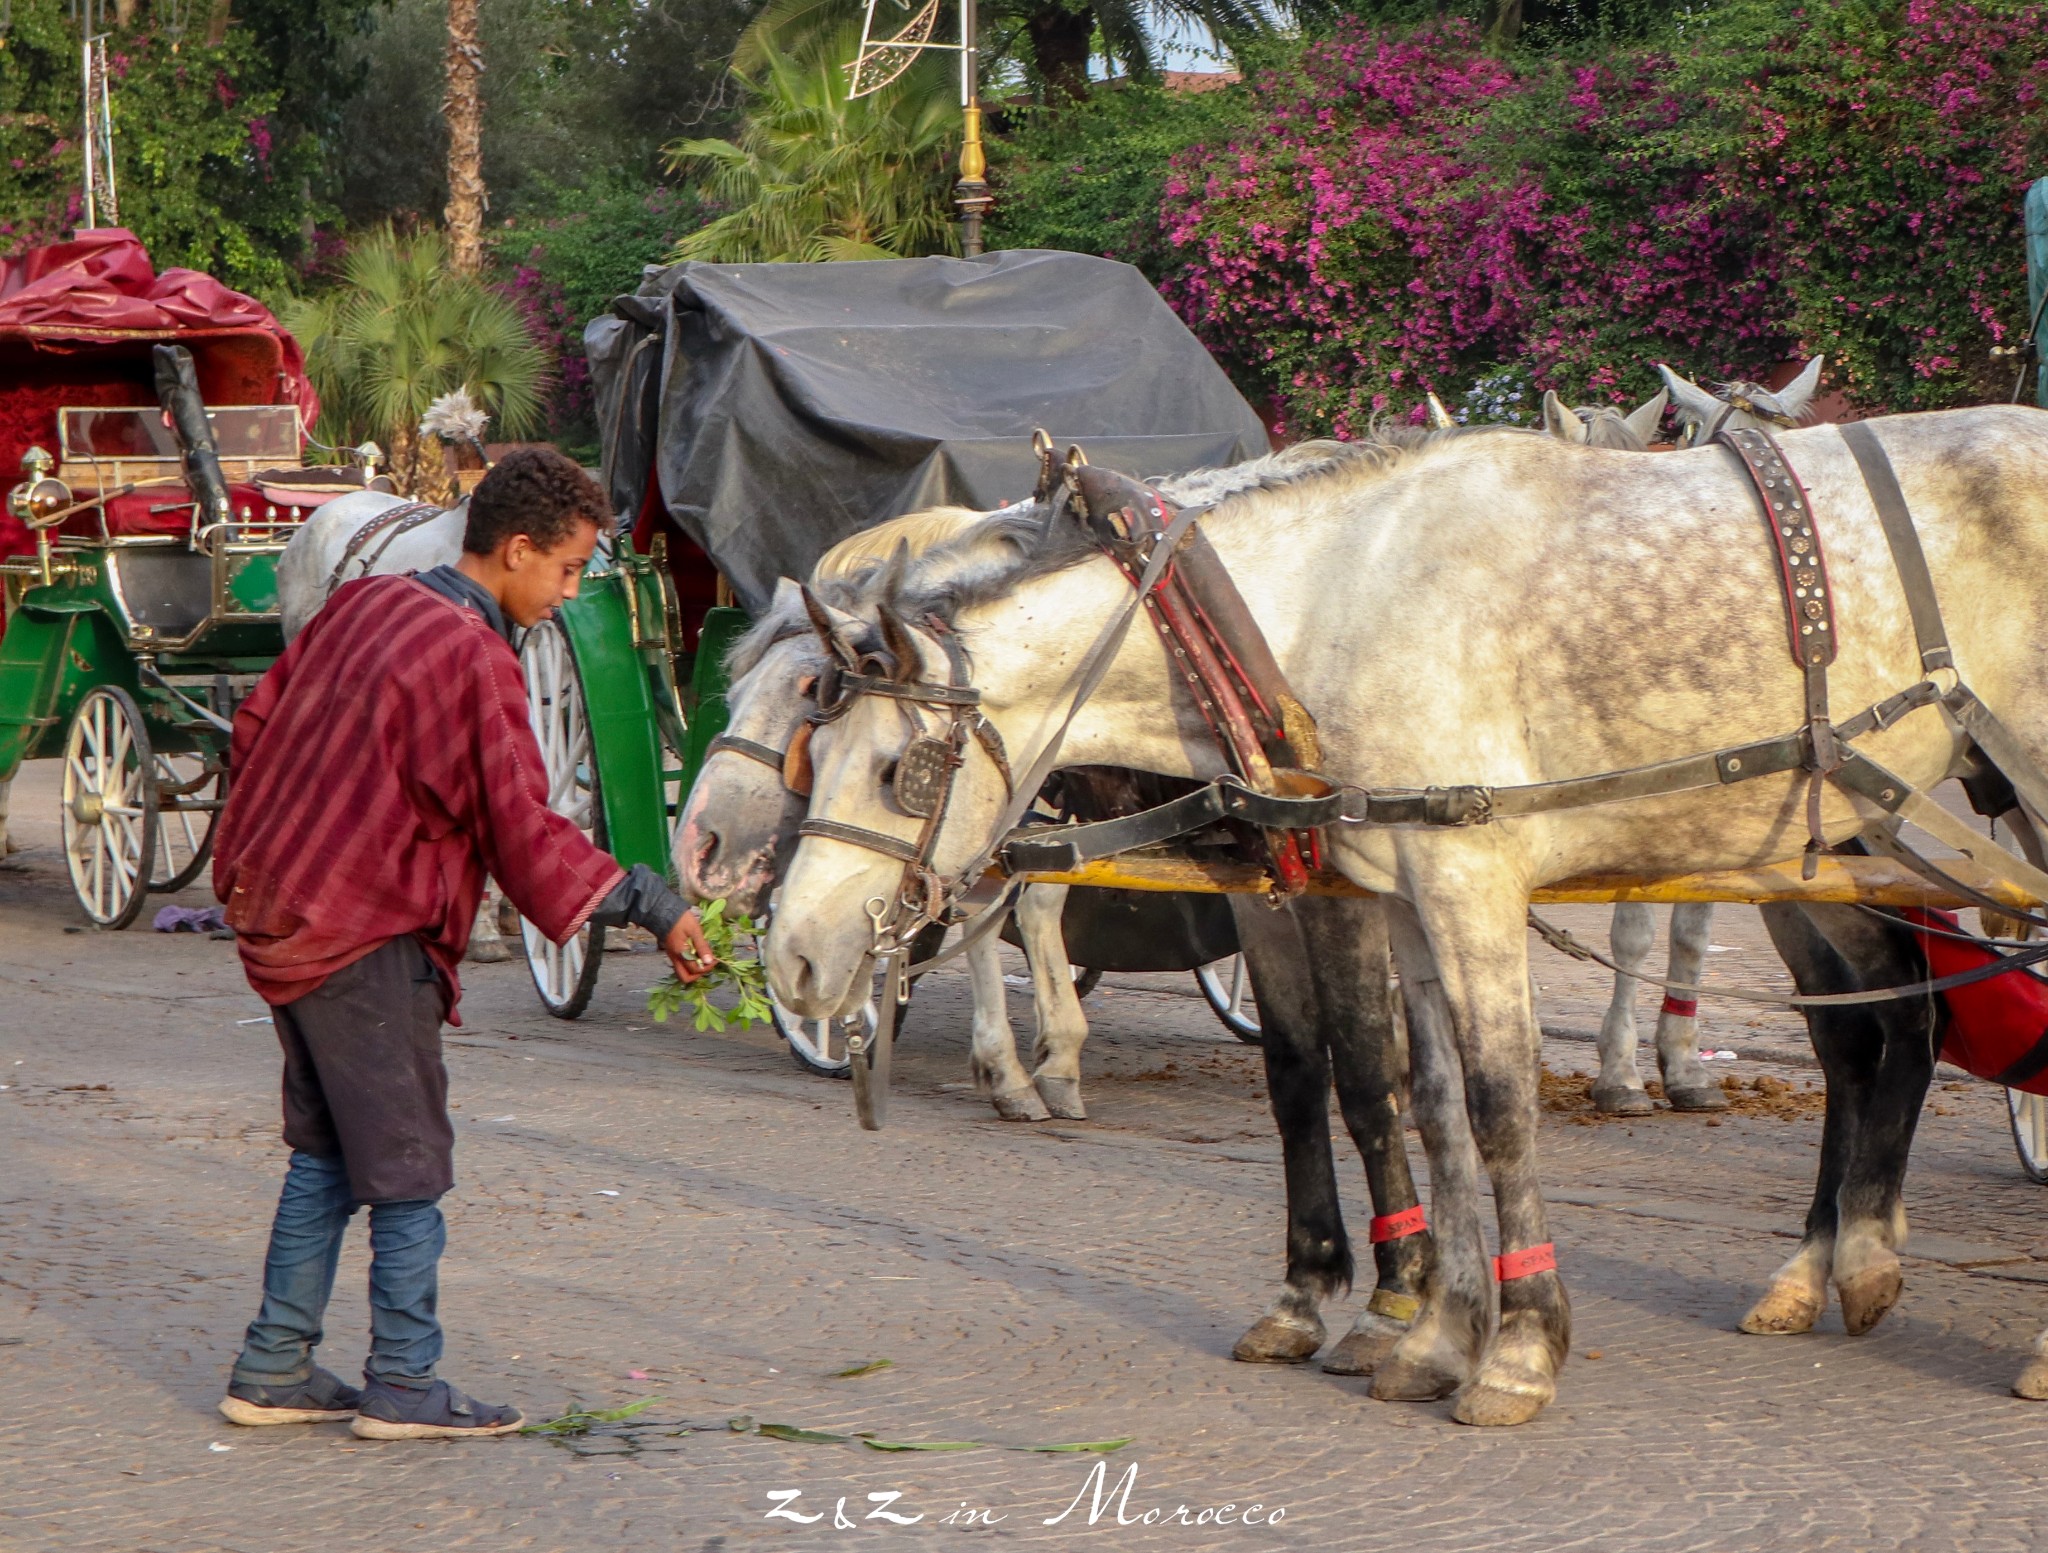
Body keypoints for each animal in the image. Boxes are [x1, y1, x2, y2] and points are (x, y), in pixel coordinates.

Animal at [761, 409, 2048, 1425]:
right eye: (814, 736)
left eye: (897, 770)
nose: (793, 958)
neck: (1327, 602)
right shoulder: (1400, 890)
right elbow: (1423, 1102)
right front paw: (1435, 1333)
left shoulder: (1463, 873)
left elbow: (1485, 1101)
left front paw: (1513, 1346)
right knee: (1869, 1030)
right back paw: (1840, 1264)